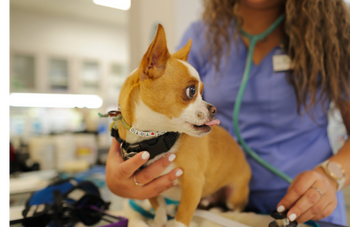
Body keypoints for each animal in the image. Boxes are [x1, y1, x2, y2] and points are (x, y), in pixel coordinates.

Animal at [117, 24, 252, 226]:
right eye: (192, 91)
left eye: (202, 92)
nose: (214, 109)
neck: (155, 137)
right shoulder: (149, 186)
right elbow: (159, 205)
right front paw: (158, 221)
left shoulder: (192, 183)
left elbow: (183, 215)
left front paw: (174, 222)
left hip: (234, 195)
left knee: (230, 207)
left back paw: (218, 210)